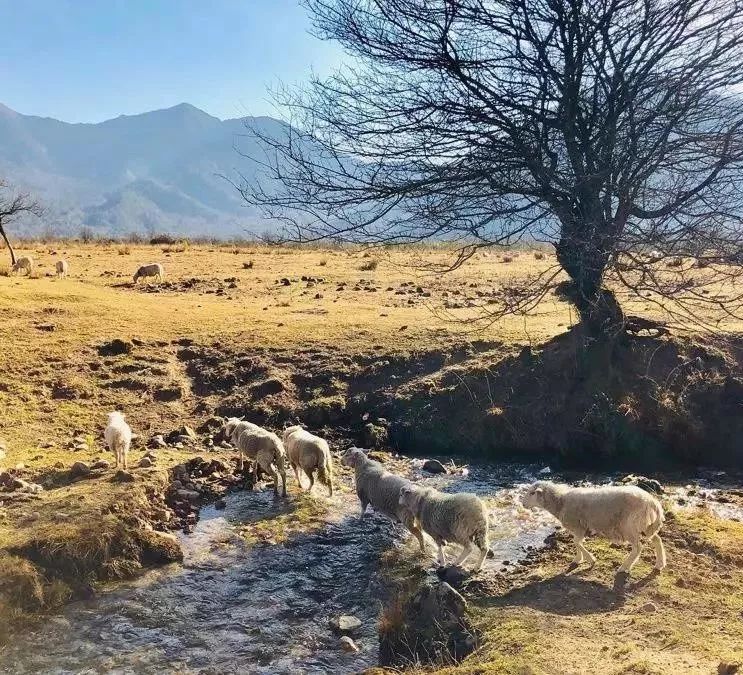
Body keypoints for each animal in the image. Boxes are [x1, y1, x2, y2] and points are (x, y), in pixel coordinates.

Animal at [520, 480, 664, 576]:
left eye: (532, 493)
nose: (523, 504)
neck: (560, 501)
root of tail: (653, 502)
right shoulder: (579, 528)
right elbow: (576, 542)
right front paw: (578, 559)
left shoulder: (579, 526)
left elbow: (576, 542)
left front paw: (590, 559)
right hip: (646, 526)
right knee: (657, 540)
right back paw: (659, 564)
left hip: (629, 526)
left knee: (638, 547)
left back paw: (624, 567)